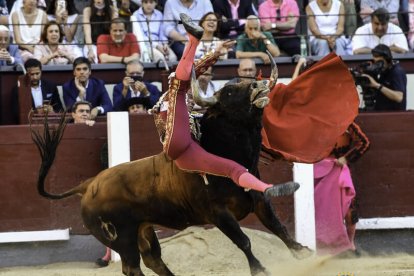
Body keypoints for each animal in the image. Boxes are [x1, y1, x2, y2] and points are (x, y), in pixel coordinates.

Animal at [31, 75, 310, 276]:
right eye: (229, 92)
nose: (257, 84)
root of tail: (88, 185)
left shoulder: (259, 201)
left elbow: (278, 227)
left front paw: (303, 252)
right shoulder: (219, 214)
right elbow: (244, 241)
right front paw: (260, 270)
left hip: (144, 231)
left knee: (154, 260)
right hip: (123, 239)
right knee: (132, 268)